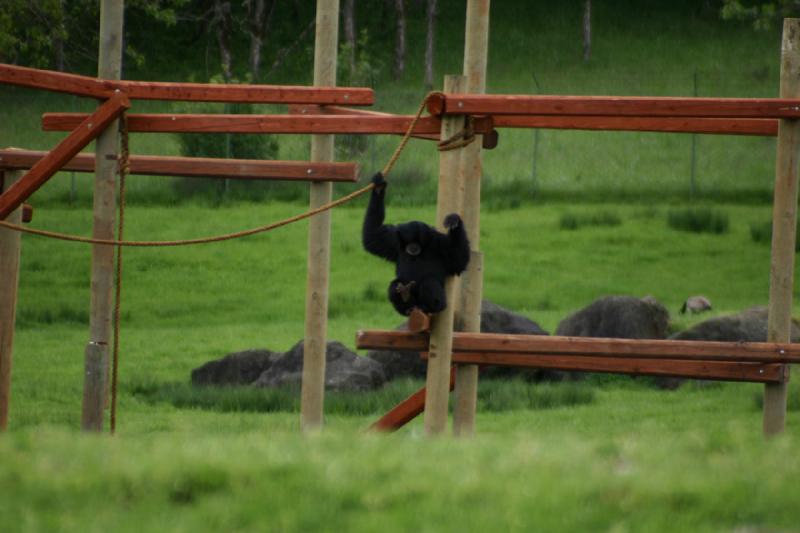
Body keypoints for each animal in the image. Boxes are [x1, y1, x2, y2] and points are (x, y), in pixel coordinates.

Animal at [360, 171, 468, 316]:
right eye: (409, 241)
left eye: (418, 241)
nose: (413, 247)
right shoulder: (393, 240)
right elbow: (372, 238)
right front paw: (379, 187)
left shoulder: (440, 243)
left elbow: (458, 262)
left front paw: (454, 221)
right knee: (395, 284)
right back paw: (405, 300)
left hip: (441, 303)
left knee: (429, 282)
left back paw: (428, 307)